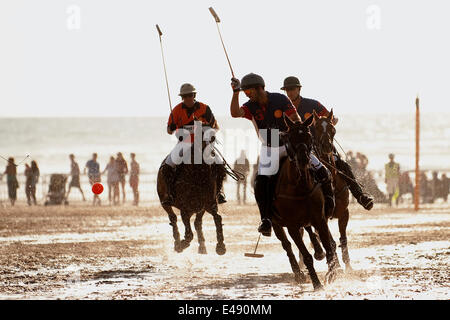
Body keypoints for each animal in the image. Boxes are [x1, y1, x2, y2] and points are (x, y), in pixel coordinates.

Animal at [270, 115, 338, 290]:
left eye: (308, 137)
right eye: (291, 138)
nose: (303, 159)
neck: (301, 187)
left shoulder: (320, 219)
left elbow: (329, 248)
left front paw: (332, 274)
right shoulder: (292, 226)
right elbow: (305, 255)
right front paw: (317, 283)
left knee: (310, 232)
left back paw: (319, 252)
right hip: (276, 223)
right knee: (286, 245)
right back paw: (298, 273)